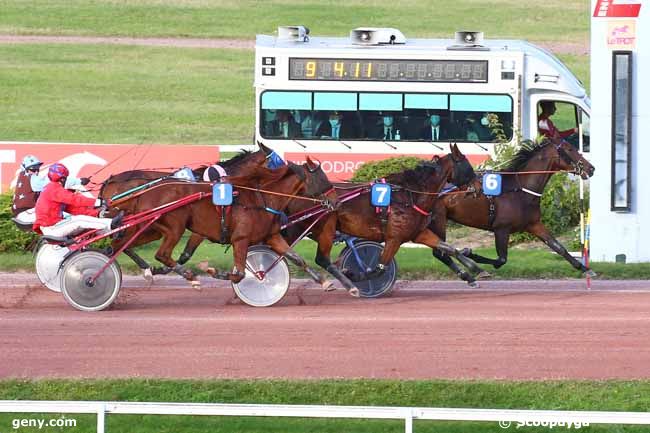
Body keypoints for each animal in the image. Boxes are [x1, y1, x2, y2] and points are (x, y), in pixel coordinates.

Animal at [109, 157, 336, 288]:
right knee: (162, 254)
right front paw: (213, 271)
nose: (334, 201)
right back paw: (189, 276)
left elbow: (297, 258)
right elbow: (239, 274)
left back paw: (143, 268)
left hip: (152, 228)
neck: (262, 198)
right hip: (174, 227)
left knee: (121, 244)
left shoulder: (272, 236)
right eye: (322, 178)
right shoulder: (240, 239)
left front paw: (323, 281)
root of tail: (144, 192)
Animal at [282, 142, 480, 286]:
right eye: (468, 166)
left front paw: (474, 269)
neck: (410, 195)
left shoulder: (418, 233)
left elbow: (448, 248)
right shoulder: (394, 238)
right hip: (325, 228)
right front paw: (354, 275)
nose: (478, 187)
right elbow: (379, 269)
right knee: (319, 258)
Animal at [428, 138, 596, 284]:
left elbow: (558, 247)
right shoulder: (501, 229)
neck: (520, 190)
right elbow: (501, 260)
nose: (591, 168)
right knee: (439, 251)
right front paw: (468, 252)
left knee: (440, 251)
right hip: (438, 219)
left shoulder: (534, 224)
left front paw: (585, 268)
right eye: (570, 149)